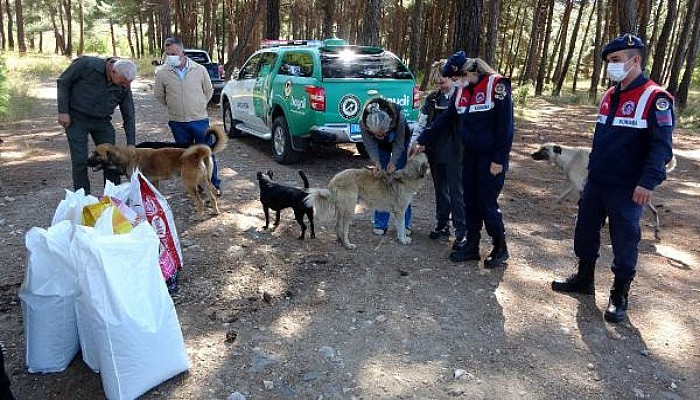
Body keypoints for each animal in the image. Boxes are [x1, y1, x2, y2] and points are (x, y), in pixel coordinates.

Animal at [85, 126, 227, 219]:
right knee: (213, 195)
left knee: (200, 201)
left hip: (190, 184)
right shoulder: (153, 181)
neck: (127, 157)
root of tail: (196, 154)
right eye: (93, 152)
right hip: (204, 181)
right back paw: (215, 211)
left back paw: (198, 215)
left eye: (97, 153)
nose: (86, 162)